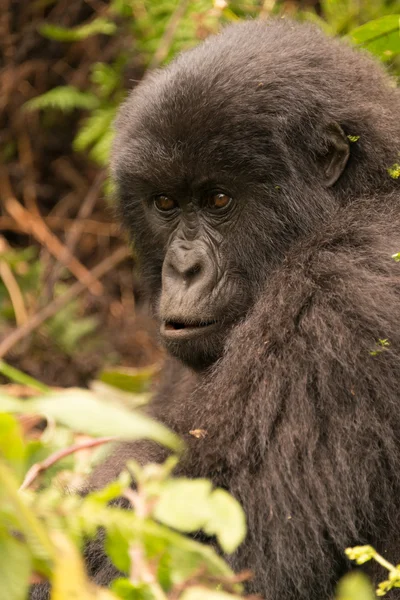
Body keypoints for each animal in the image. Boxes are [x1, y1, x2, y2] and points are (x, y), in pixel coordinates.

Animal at [33, 18, 400, 600]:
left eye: (220, 200)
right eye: (165, 203)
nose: (183, 270)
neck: (366, 193)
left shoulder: (338, 293)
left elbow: (220, 560)